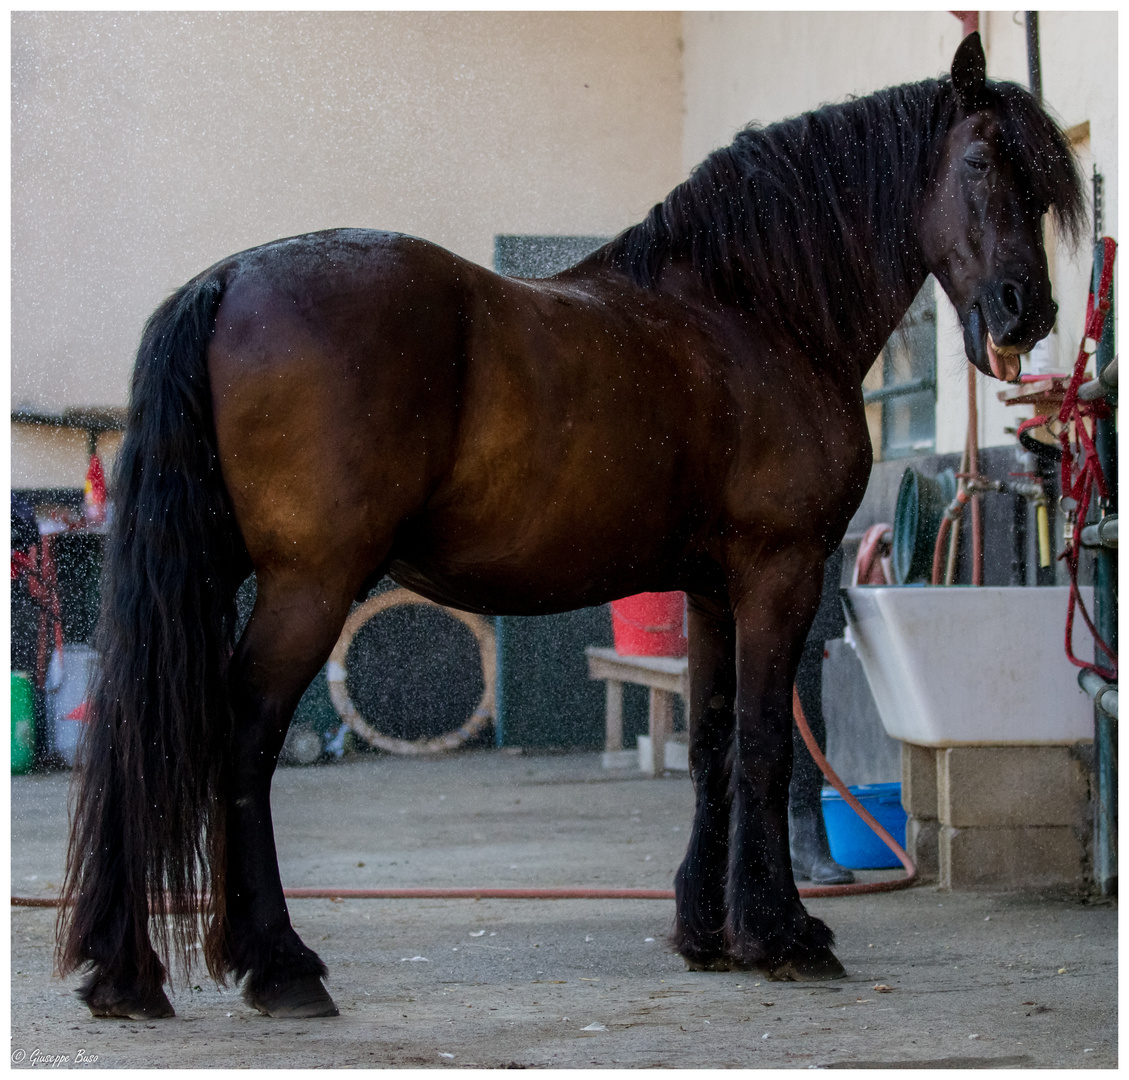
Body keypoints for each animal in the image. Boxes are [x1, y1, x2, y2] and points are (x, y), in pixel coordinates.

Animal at [57, 29, 1079, 1015]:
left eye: (1039, 182)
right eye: (981, 161)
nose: (1027, 312)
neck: (754, 311)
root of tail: (230, 279)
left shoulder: (711, 590)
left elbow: (710, 746)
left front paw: (709, 935)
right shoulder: (777, 573)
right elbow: (764, 745)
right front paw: (784, 936)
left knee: (147, 729)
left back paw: (127, 975)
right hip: (309, 585)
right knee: (242, 737)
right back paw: (278, 967)